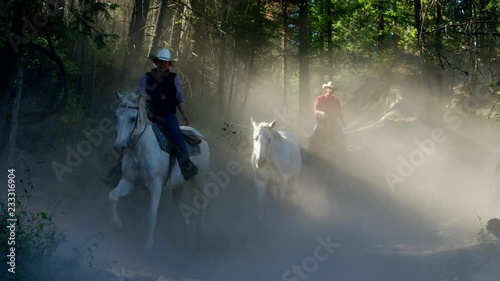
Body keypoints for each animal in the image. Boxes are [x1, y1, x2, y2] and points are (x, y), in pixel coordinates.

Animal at [108, 91, 210, 247]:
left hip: (198, 178)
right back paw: (185, 231)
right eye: (116, 117)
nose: (119, 146)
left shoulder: (156, 186)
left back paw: (201, 231)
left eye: (133, 118)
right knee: (181, 205)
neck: (140, 151)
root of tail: (200, 136)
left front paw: (148, 243)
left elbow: (151, 214)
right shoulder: (128, 182)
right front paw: (117, 223)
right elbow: (113, 196)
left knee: (204, 199)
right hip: (178, 186)